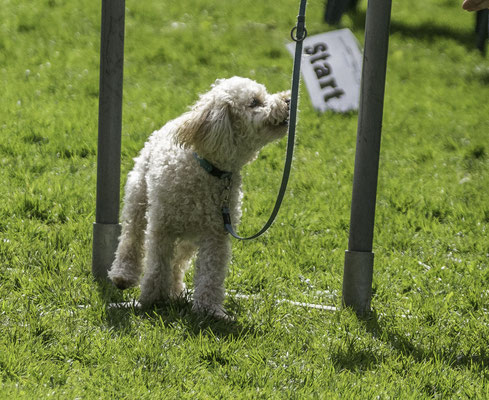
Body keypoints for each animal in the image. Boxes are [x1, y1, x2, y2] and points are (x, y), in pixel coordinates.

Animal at [107, 76, 290, 318]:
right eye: (254, 102)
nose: (289, 99)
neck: (208, 169)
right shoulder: (161, 227)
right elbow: (156, 265)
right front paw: (151, 299)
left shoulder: (216, 233)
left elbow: (211, 274)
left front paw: (209, 310)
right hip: (138, 198)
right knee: (131, 239)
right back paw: (123, 275)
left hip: (190, 236)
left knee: (178, 261)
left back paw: (175, 291)